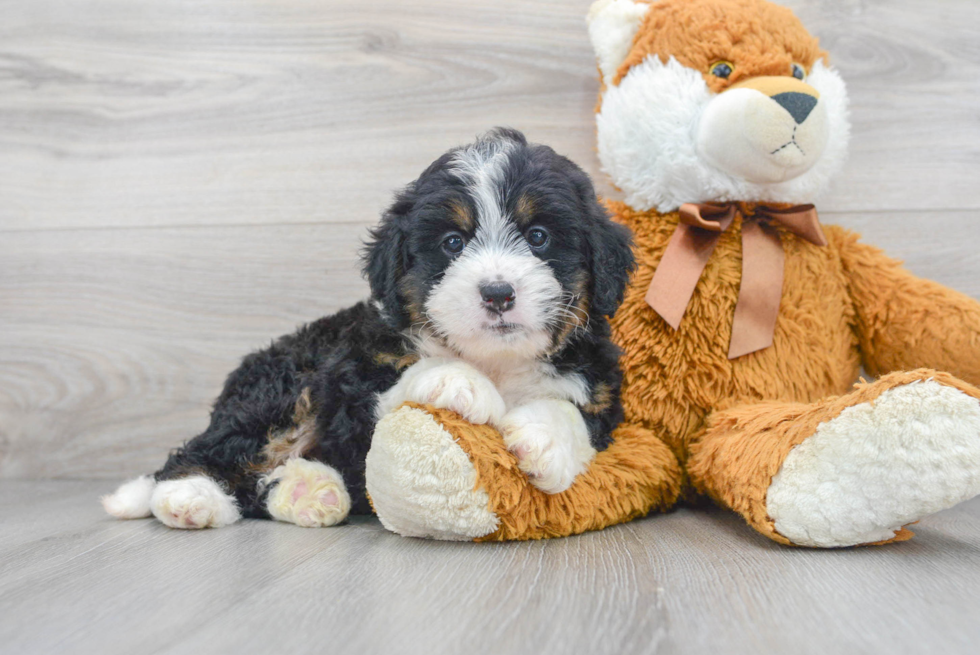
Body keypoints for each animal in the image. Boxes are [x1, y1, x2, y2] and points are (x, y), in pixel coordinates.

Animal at [101, 129, 636, 532]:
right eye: (453, 242)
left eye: (539, 236)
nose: (498, 293)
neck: (495, 360)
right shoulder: (353, 374)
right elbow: (396, 381)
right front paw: (457, 380)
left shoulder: (600, 389)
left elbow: (574, 412)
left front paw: (542, 441)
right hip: (283, 385)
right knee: (213, 447)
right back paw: (187, 495)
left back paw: (307, 491)